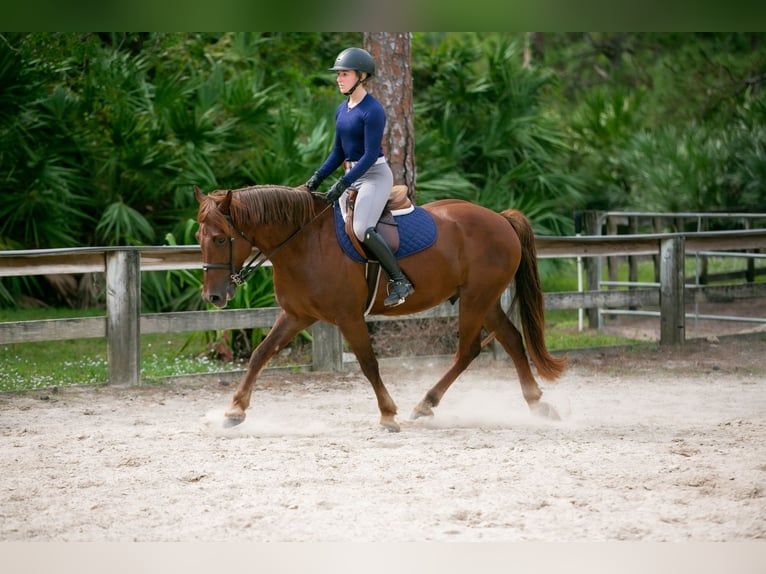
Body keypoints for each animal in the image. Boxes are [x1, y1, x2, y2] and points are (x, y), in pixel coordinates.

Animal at [194, 184, 567, 432]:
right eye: (200, 238)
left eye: (221, 238)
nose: (214, 297)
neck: (305, 242)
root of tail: (501, 219)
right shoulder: (297, 316)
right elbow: (261, 354)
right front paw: (235, 410)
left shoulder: (348, 318)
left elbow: (369, 364)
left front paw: (388, 414)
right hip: (482, 300)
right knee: (512, 340)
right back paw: (536, 402)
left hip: (477, 299)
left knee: (468, 351)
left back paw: (425, 404)